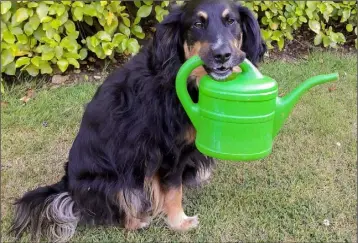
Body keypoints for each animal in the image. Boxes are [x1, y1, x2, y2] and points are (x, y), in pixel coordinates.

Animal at [10, 0, 266, 242]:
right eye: (197, 24)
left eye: (231, 21)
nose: (222, 55)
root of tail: (68, 185)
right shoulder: (168, 153)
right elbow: (174, 190)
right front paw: (179, 222)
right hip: (116, 179)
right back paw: (137, 221)